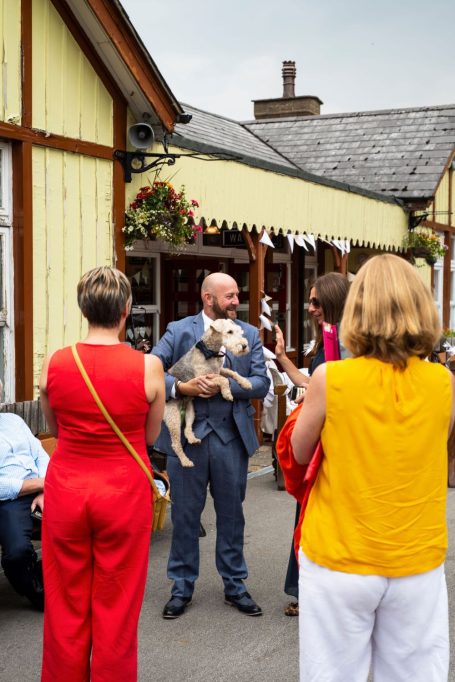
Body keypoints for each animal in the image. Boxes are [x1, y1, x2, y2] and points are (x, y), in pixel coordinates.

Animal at [164, 318, 252, 467]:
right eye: (229, 332)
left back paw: (193, 439)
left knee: (187, 429)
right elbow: (223, 379)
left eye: (240, 331)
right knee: (175, 444)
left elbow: (231, 373)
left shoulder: (218, 370)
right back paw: (186, 461)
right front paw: (227, 393)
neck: (210, 352)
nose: (244, 346)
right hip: (173, 417)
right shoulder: (203, 378)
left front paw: (245, 383)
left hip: (190, 412)